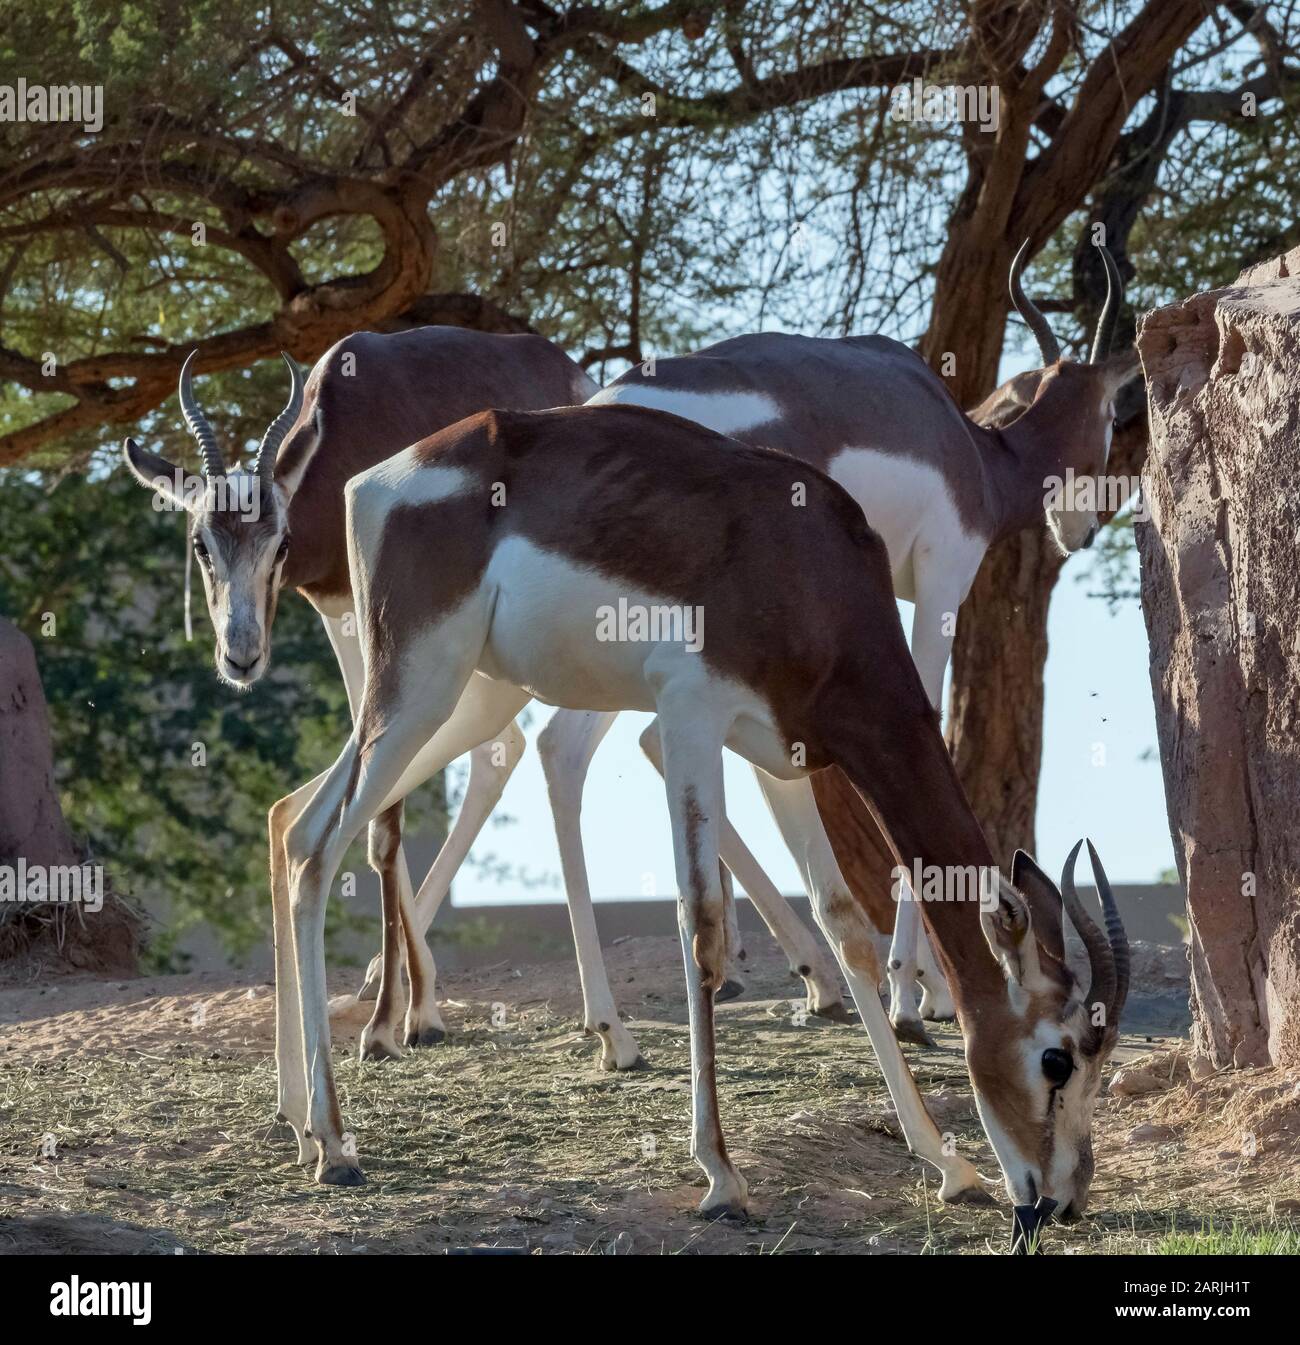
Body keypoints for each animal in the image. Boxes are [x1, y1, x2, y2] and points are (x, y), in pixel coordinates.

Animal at [123, 328, 844, 1079]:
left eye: (280, 541)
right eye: (201, 543)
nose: (241, 654)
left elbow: (384, 821)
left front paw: (391, 1022)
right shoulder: (344, 617)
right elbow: (374, 810)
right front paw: (401, 1008)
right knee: (525, 750)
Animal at [275, 401, 1129, 1227]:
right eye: (1056, 1056)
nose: (1065, 1198)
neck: (805, 566)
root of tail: (376, 480)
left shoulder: (784, 753)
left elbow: (846, 925)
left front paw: (950, 1166)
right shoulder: (689, 711)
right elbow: (702, 927)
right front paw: (721, 1174)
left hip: (462, 699)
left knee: (291, 817)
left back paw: (298, 1121)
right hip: (420, 689)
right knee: (319, 848)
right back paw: (335, 1144)